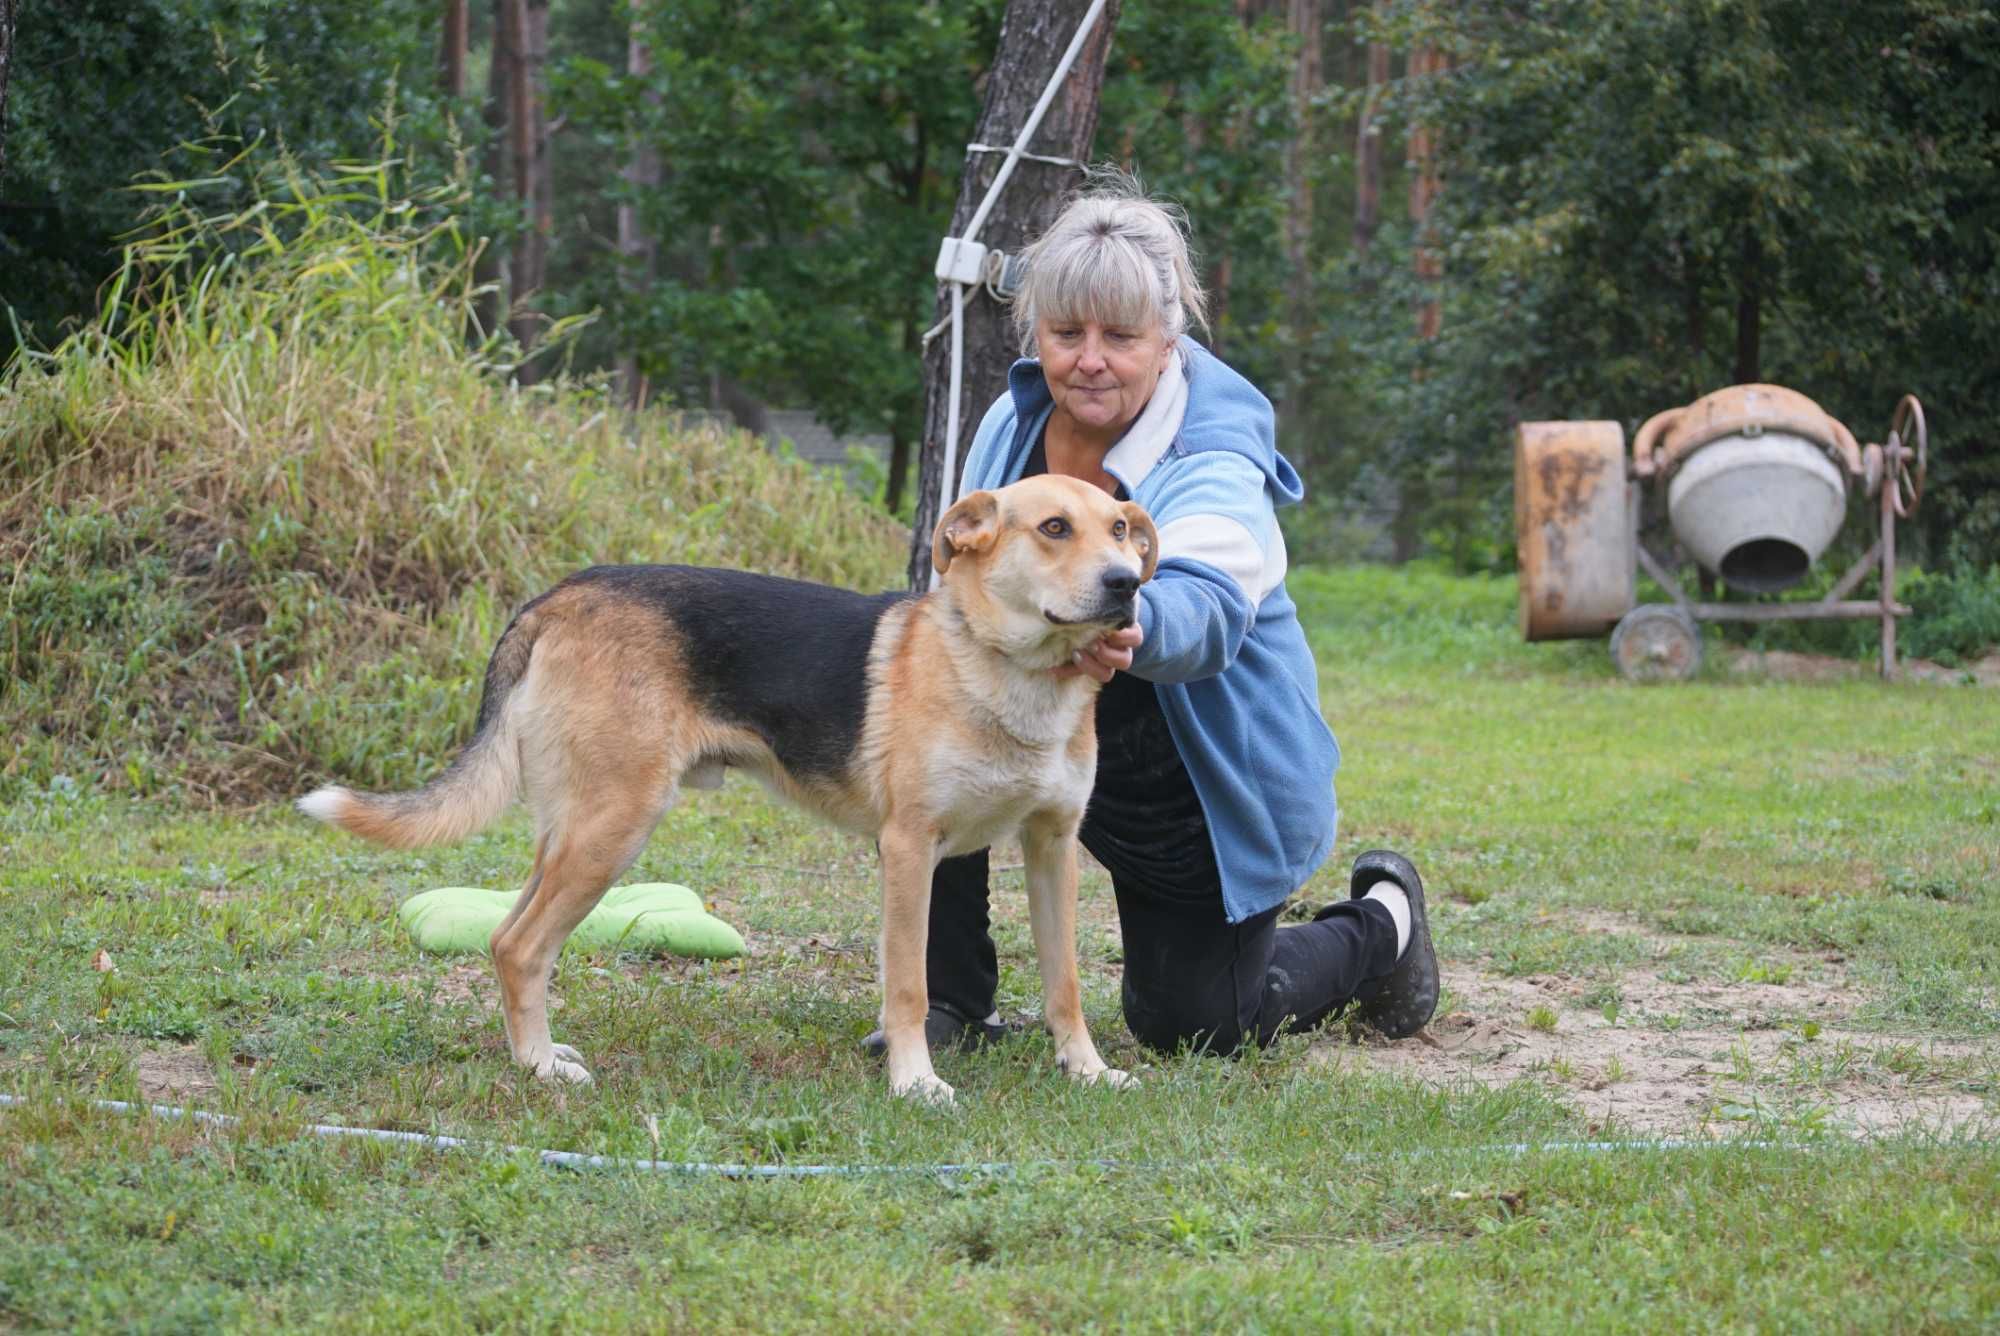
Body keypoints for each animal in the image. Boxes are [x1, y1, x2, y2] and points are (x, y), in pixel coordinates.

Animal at [304, 474, 1168, 1104]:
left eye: (1120, 530)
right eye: (1053, 528)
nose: (1126, 585)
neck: (1010, 673)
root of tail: (559, 596)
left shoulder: (1051, 848)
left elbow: (1065, 986)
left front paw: (1089, 1072)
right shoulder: (908, 850)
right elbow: (908, 989)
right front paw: (915, 1083)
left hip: (573, 832)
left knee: (505, 937)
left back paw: (537, 1052)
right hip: (613, 830)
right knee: (519, 947)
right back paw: (541, 1069)